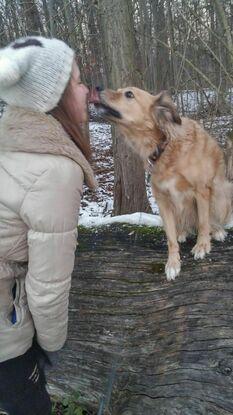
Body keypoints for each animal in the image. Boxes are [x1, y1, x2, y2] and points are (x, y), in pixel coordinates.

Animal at [94, 88, 231, 282]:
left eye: (129, 94)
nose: (97, 88)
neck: (164, 144)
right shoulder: (163, 201)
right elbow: (170, 238)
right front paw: (173, 263)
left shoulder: (201, 190)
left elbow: (204, 222)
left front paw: (202, 245)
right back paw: (182, 232)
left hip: (220, 191)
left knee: (211, 220)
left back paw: (217, 230)